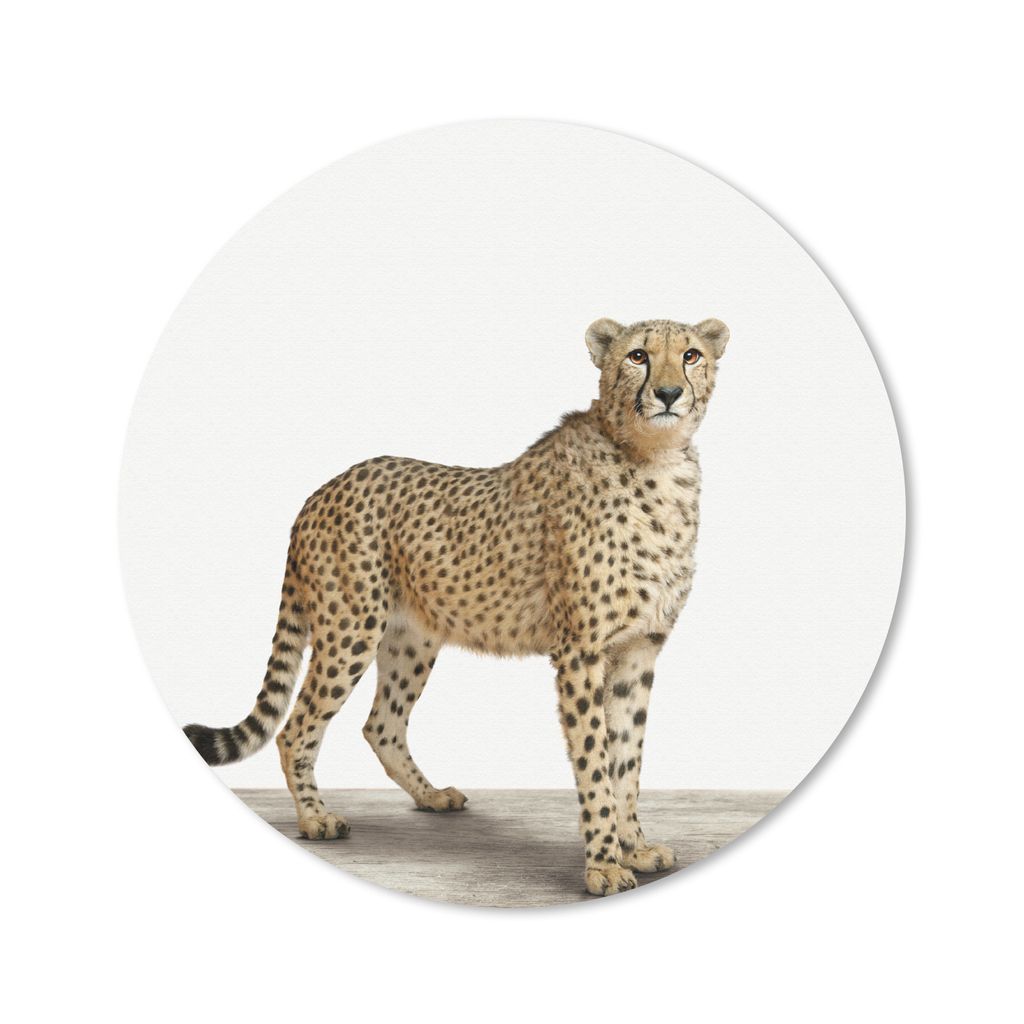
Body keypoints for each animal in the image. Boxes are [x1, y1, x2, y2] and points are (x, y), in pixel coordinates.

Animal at [184, 315, 730, 896]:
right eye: (637, 356)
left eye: (691, 355)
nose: (668, 393)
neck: (654, 460)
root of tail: (322, 490)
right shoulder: (580, 653)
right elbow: (595, 762)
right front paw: (604, 864)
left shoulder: (638, 650)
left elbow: (627, 757)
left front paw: (636, 847)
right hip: (350, 629)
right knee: (297, 727)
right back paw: (316, 819)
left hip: (411, 639)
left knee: (381, 725)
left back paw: (430, 797)